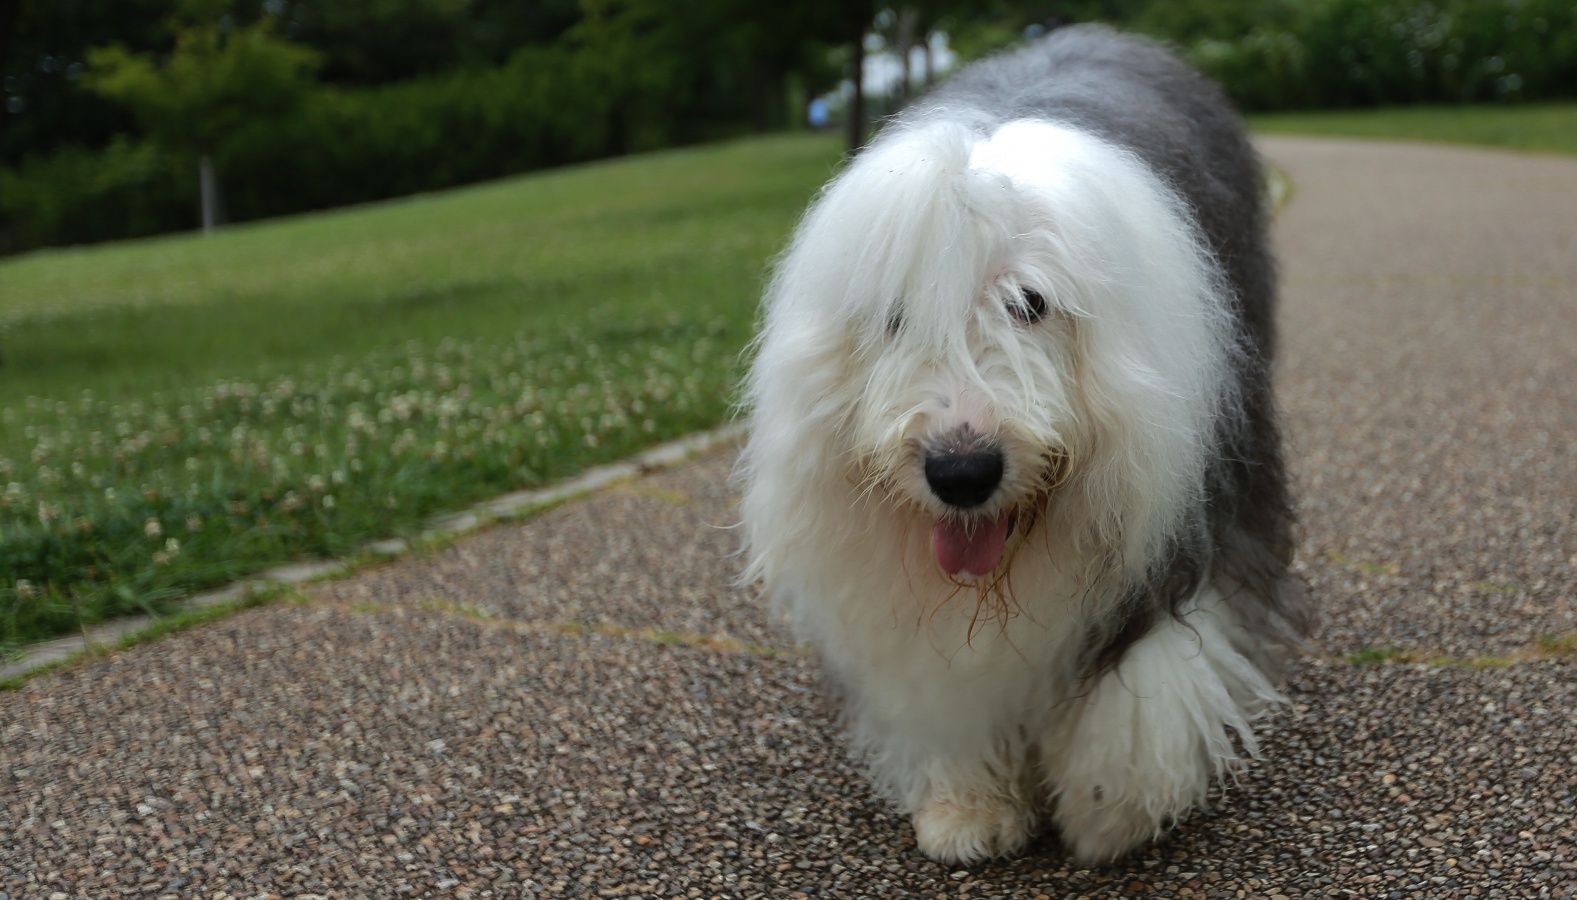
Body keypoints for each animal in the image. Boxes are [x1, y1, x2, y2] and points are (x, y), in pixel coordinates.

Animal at [735, 25, 1313, 865]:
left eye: (1030, 302)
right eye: (895, 317)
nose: (960, 472)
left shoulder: (1191, 503)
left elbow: (1146, 664)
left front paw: (1111, 807)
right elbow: (940, 680)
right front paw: (967, 808)